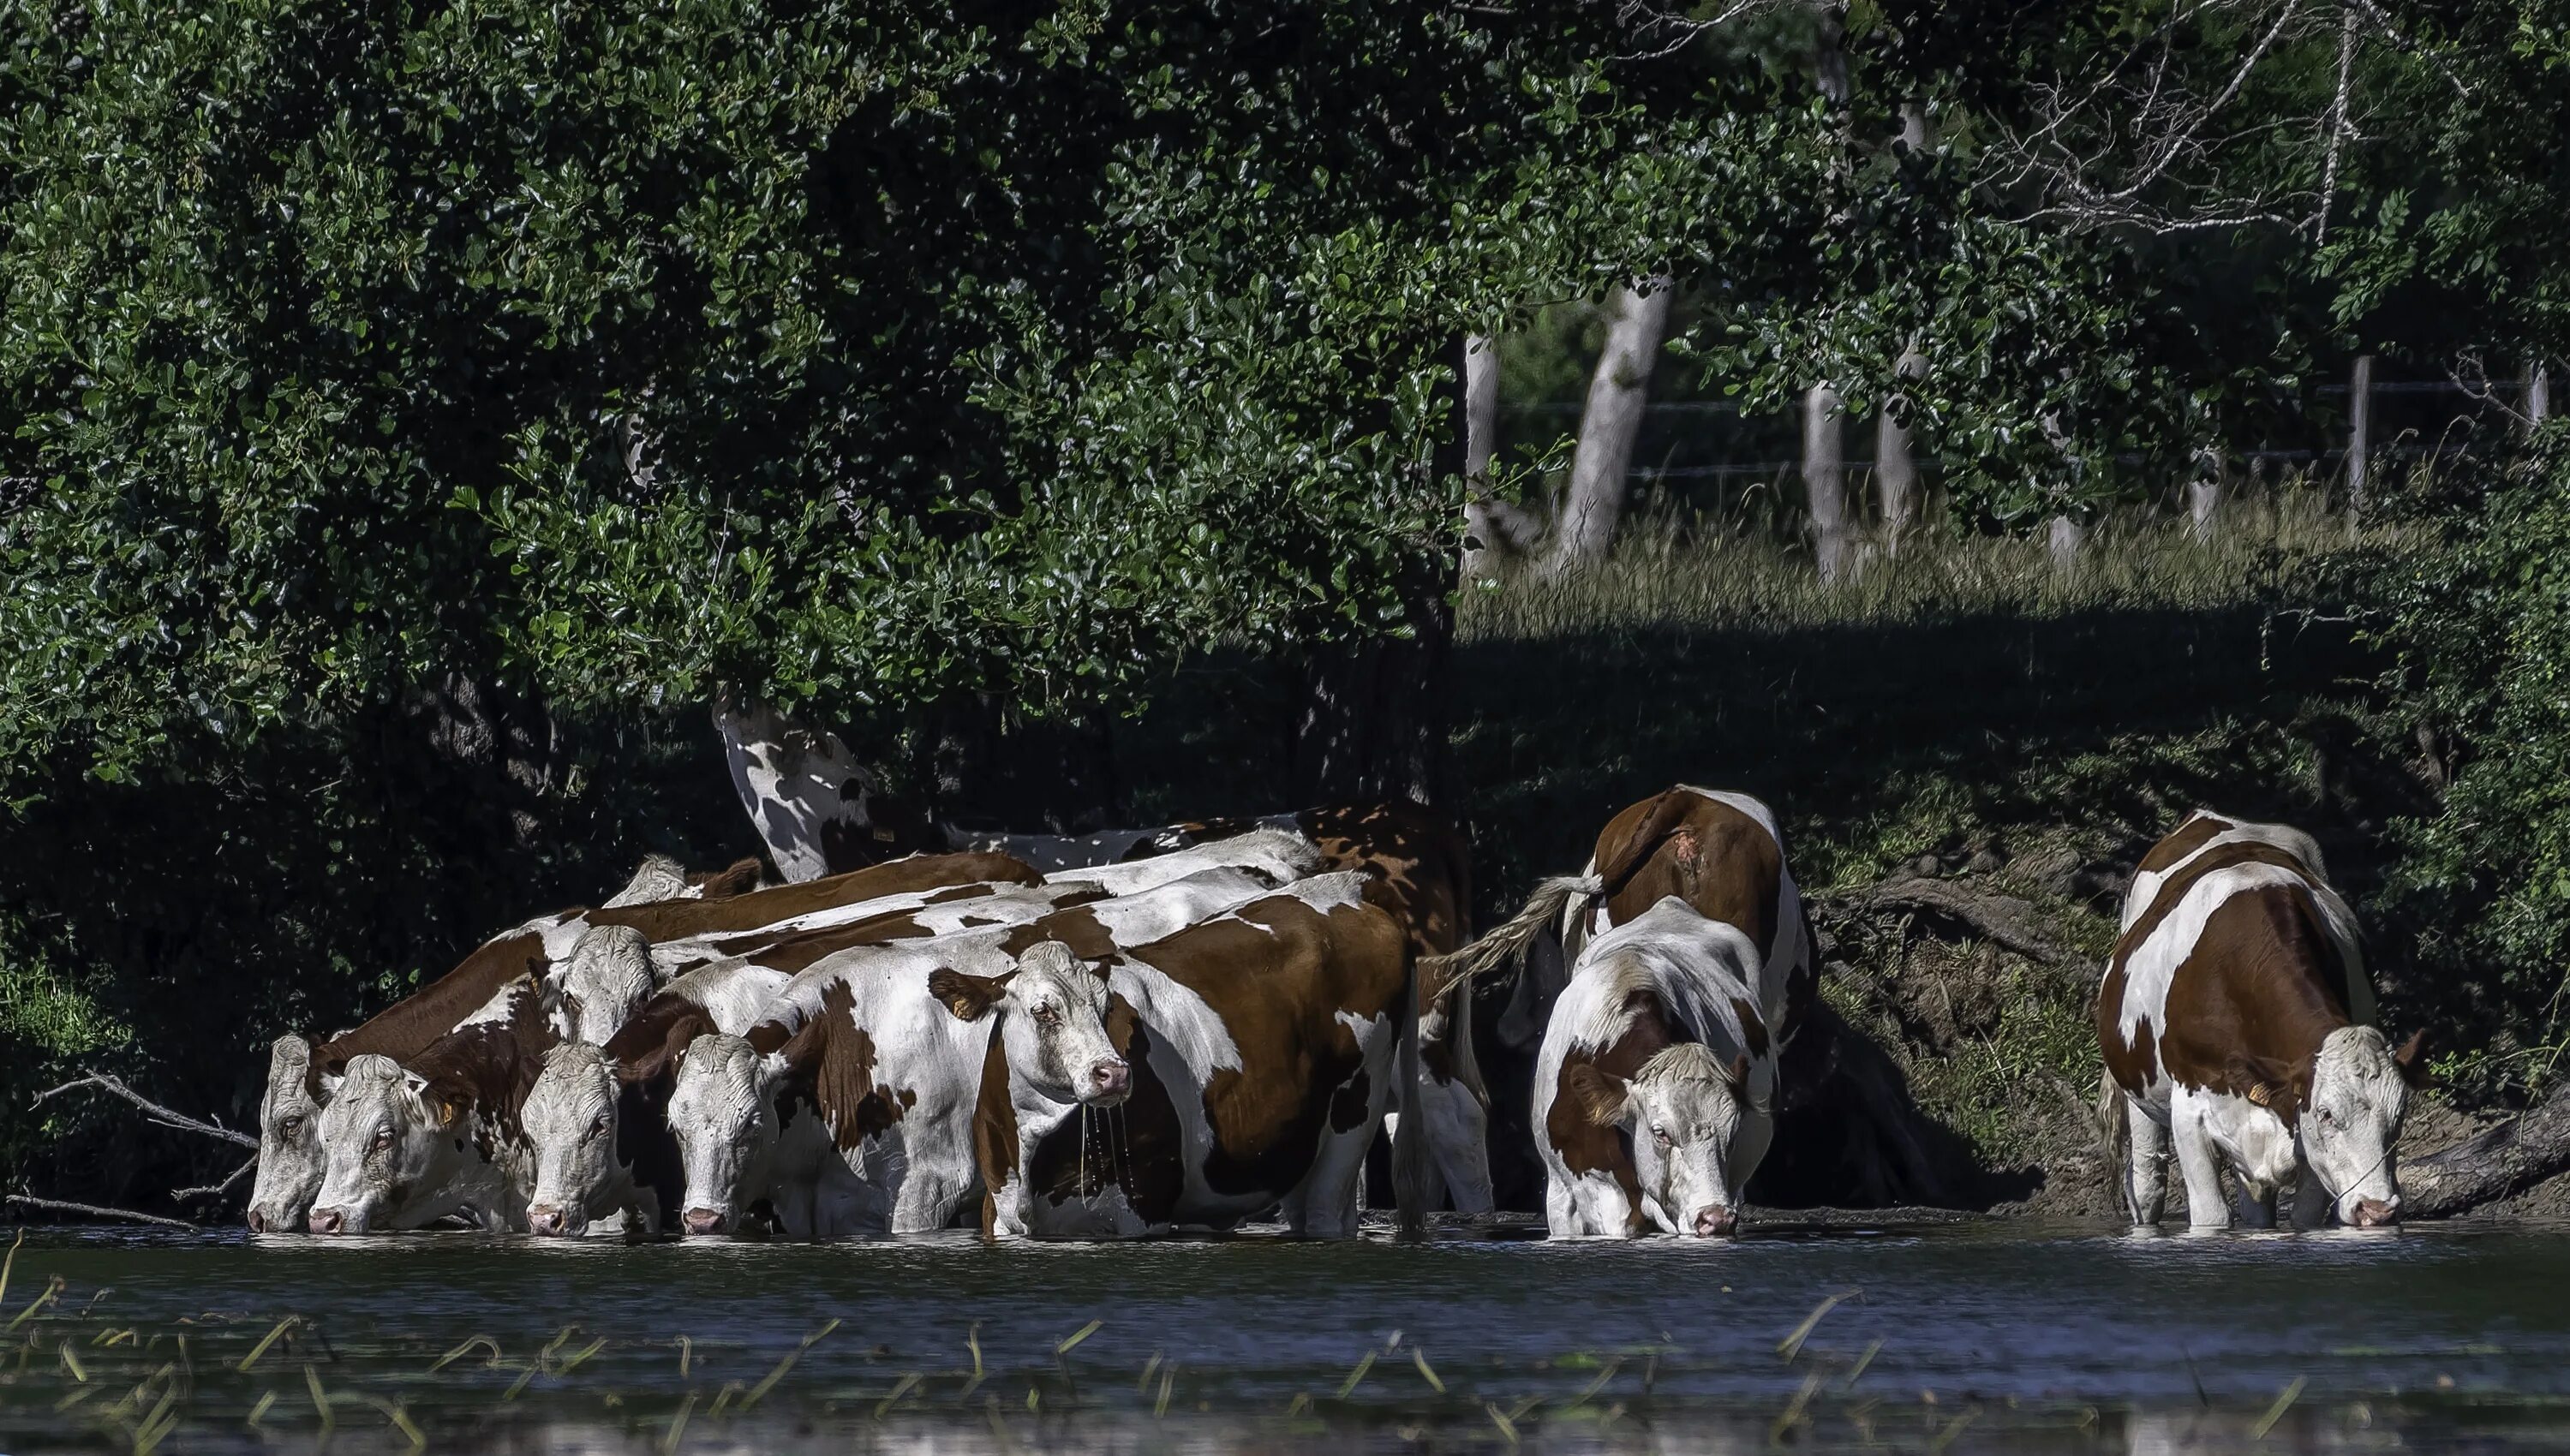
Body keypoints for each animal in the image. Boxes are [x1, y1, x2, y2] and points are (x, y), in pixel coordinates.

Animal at [2097, 811, 2416, 1232]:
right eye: (2326, 1114)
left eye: (2399, 1116)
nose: (2377, 1209)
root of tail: (2207, 817)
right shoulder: (2188, 1112)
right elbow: (2211, 1215)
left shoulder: (2301, 1135)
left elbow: (2304, 1216)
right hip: (2137, 1085)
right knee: (2149, 1182)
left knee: (2256, 1207)